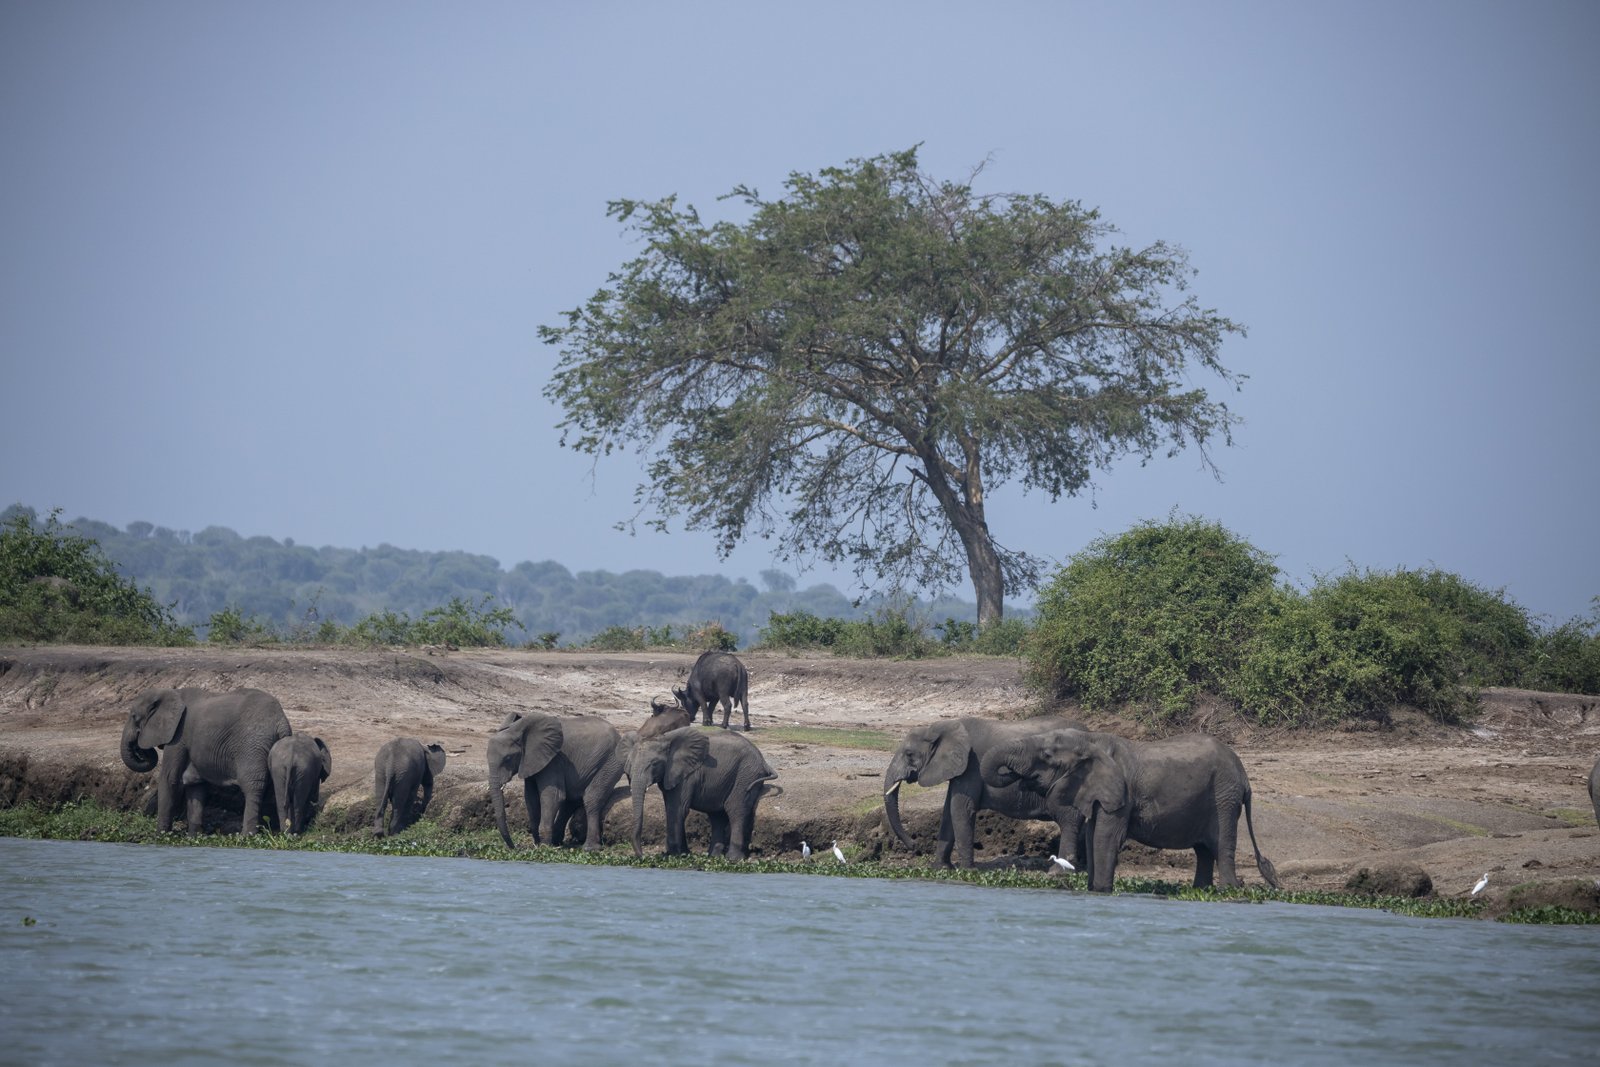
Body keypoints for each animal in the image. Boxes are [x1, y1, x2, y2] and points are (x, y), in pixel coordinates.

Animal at [120, 687, 292, 835]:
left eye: (134, 717)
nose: (140, 748)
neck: (171, 692)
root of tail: (281, 722)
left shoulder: (178, 735)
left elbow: (169, 779)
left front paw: (160, 836)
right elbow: (195, 785)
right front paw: (193, 837)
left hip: (252, 745)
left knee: (253, 787)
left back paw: (246, 836)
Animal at [487, 711, 630, 850]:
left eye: (508, 758)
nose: (514, 848)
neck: (517, 730)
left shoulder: (553, 760)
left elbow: (553, 796)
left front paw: (544, 847)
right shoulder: (530, 761)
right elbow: (531, 798)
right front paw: (538, 844)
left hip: (610, 761)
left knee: (591, 798)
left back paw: (590, 848)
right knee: (571, 801)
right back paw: (557, 842)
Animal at [628, 726, 778, 860]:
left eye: (654, 763)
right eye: (630, 764)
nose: (643, 856)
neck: (665, 738)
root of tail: (763, 761)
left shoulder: (687, 775)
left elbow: (678, 809)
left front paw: (673, 855)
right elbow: (673, 808)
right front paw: (683, 854)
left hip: (746, 775)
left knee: (735, 810)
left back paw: (733, 859)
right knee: (718, 817)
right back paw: (713, 857)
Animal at [882, 715, 1088, 869]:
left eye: (909, 754)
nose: (914, 846)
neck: (942, 727)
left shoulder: (971, 765)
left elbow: (961, 810)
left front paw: (968, 871)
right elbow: (949, 812)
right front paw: (941, 868)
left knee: (1069, 819)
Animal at [980, 727, 1282, 892]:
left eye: (1046, 755)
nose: (1014, 774)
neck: (1091, 740)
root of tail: (1244, 776)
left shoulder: (1120, 794)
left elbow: (1105, 839)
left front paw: (1102, 890)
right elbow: (1092, 838)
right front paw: (1094, 889)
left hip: (1224, 796)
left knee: (1221, 846)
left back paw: (1228, 890)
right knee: (1204, 850)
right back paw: (1202, 890)